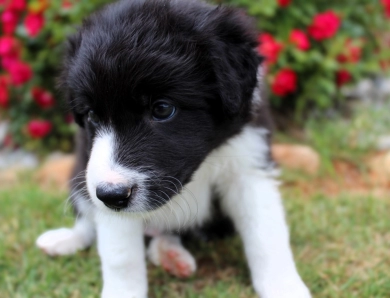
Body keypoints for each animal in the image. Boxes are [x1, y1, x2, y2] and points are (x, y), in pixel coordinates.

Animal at [36, 1, 310, 296]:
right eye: (92, 116)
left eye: (162, 109)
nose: (112, 195)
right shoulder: (99, 182)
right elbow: (120, 255)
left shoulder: (249, 166)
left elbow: (267, 234)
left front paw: (284, 286)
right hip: (80, 174)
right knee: (88, 219)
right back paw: (66, 239)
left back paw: (170, 255)